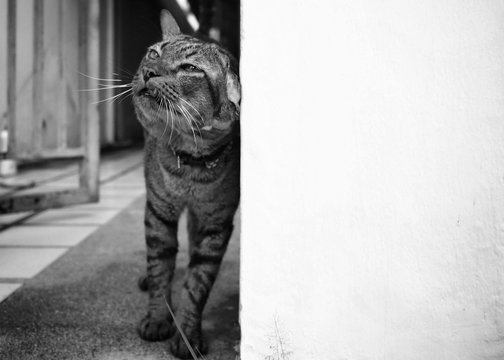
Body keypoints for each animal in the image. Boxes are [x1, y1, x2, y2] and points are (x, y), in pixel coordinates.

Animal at [130, 9, 240, 358]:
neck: (191, 159)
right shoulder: (158, 212)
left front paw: (188, 334)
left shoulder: (216, 224)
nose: (149, 72)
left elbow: (198, 283)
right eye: (154, 53)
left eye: (190, 69)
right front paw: (157, 319)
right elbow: (160, 268)